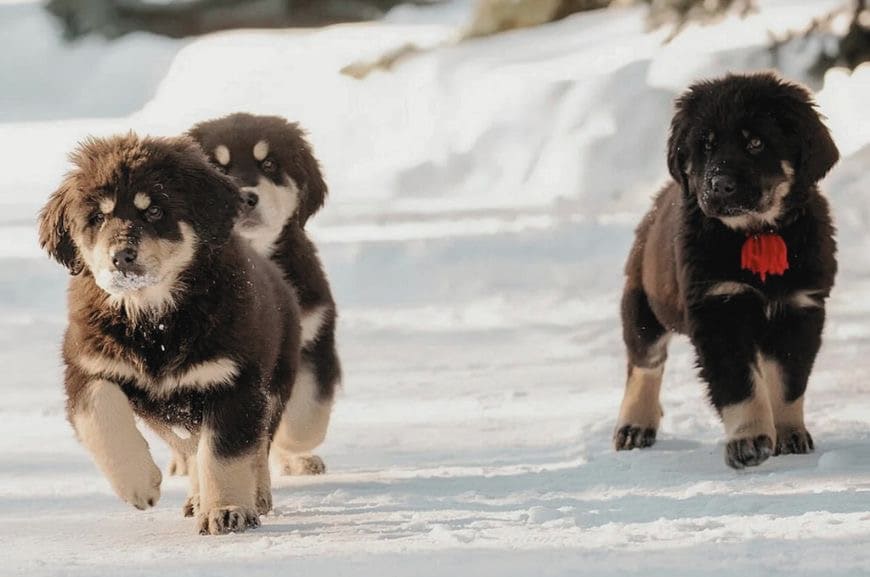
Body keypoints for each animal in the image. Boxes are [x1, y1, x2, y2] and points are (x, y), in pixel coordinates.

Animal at [38, 133, 304, 532]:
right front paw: (138, 485)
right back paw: (196, 497)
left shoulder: (233, 380)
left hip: (274, 383)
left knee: (255, 444)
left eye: (154, 212)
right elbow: (100, 416)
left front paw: (226, 509)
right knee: (190, 447)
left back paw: (255, 495)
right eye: (97, 218)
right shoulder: (87, 365)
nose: (121, 256)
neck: (154, 318)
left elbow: (224, 452)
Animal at [187, 112, 340, 476]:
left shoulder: (314, 335)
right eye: (218, 166)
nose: (246, 198)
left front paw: (294, 449)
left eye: (269, 164)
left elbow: (308, 414)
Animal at [616, 72, 840, 468]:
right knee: (644, 362)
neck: (756, 233)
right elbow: (739, 383)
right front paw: (749, 441)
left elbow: (786, 381)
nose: (719, 185)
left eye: (755, 143)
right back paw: (635, 425)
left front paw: (789, 434)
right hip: (645, 301)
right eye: (705, 147)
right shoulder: (718, 308)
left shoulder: (800, 308)